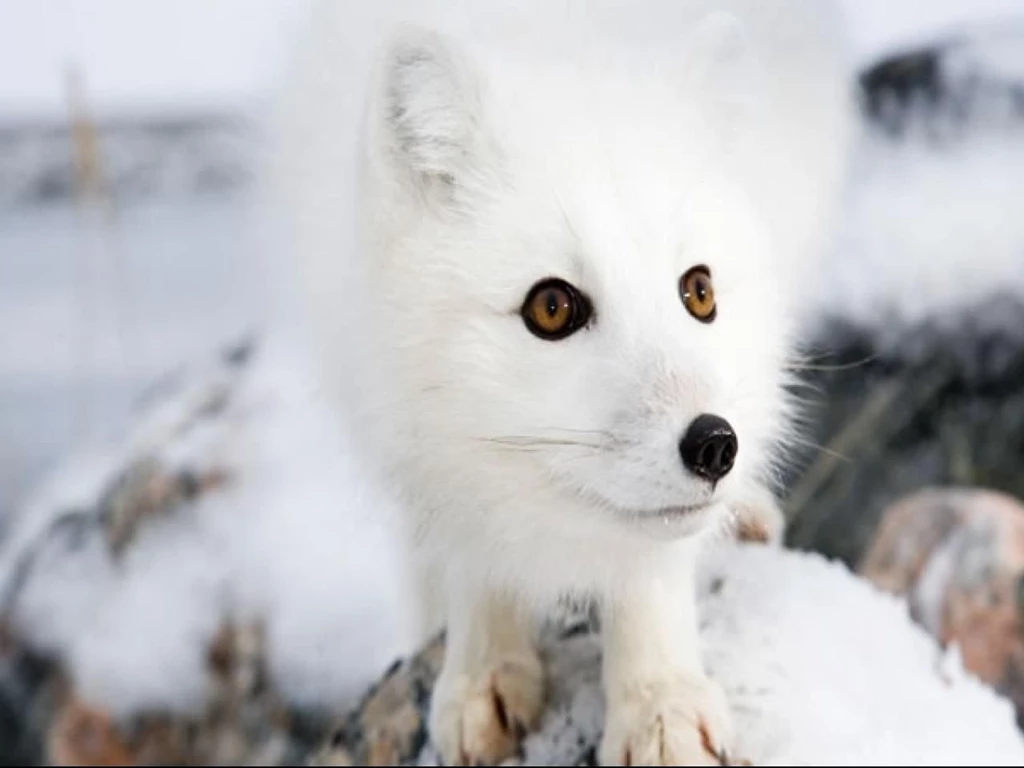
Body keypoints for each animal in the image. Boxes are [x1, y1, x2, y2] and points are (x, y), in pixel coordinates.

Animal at [268, 0, 855, 764]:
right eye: (551, 307)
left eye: (699, 292)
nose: (715, 446)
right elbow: (468, 544)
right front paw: (483, 669)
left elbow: (652, 566)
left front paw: (659, 705)